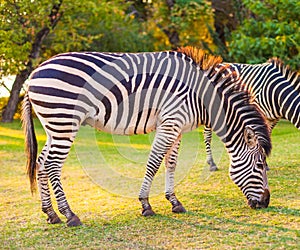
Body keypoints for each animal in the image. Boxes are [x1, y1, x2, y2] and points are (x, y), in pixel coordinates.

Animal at [21, 47, 272, 227]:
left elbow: (171, 163)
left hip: (54, 125)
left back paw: (51, 214)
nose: (266, 202)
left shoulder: (177, 127)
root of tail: (33, 74)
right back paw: (70, 215)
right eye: (260, 166)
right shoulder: (170, 122)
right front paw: (146, 204)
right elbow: (154, 163)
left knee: (41, 163)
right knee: (52, 165)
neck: (200, 96)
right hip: (64, 120)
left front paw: (174, 201)